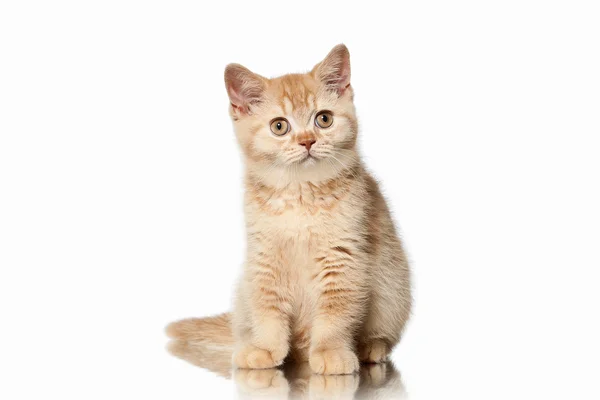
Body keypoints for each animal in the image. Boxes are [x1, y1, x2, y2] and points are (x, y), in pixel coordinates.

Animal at [169, 44, 412, 376]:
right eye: (279, 126)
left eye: (324, 119)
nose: (307, 141)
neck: (300, 195)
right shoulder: (264, 260)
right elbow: (267, 309)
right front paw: (264, 348)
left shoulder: (343, 257)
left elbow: (336, 312)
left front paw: (331, 350)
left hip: (393, 287)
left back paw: (368, 347)